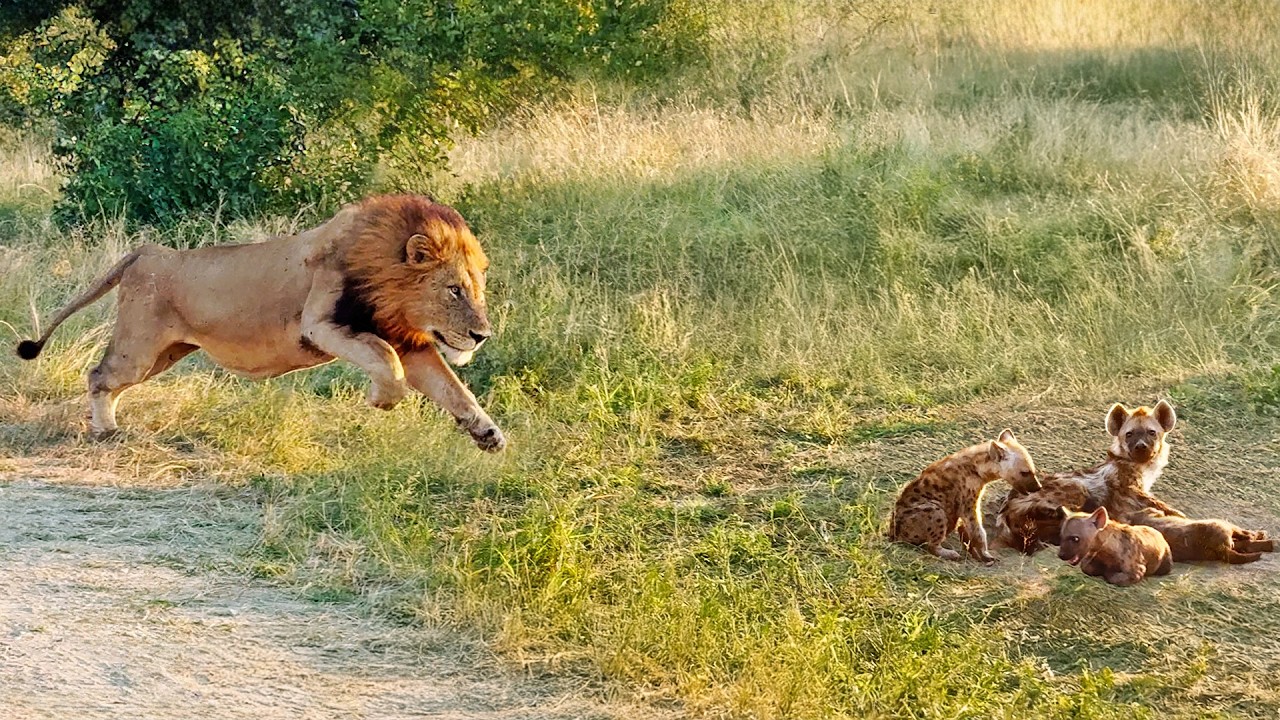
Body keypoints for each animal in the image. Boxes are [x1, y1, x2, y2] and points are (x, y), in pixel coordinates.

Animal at [15, 194, 505, 452]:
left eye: (477, 289)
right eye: (453, 290)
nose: (481, 335)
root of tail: (148, 251)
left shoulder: (410, 342)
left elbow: (452, 389)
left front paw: (487, 433)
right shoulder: (320, 323)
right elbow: (385, 360)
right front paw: (381, 400)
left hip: (164, 355)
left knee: (110, 379)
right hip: (138, 350)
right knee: (98, 374)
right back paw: (105, 431)